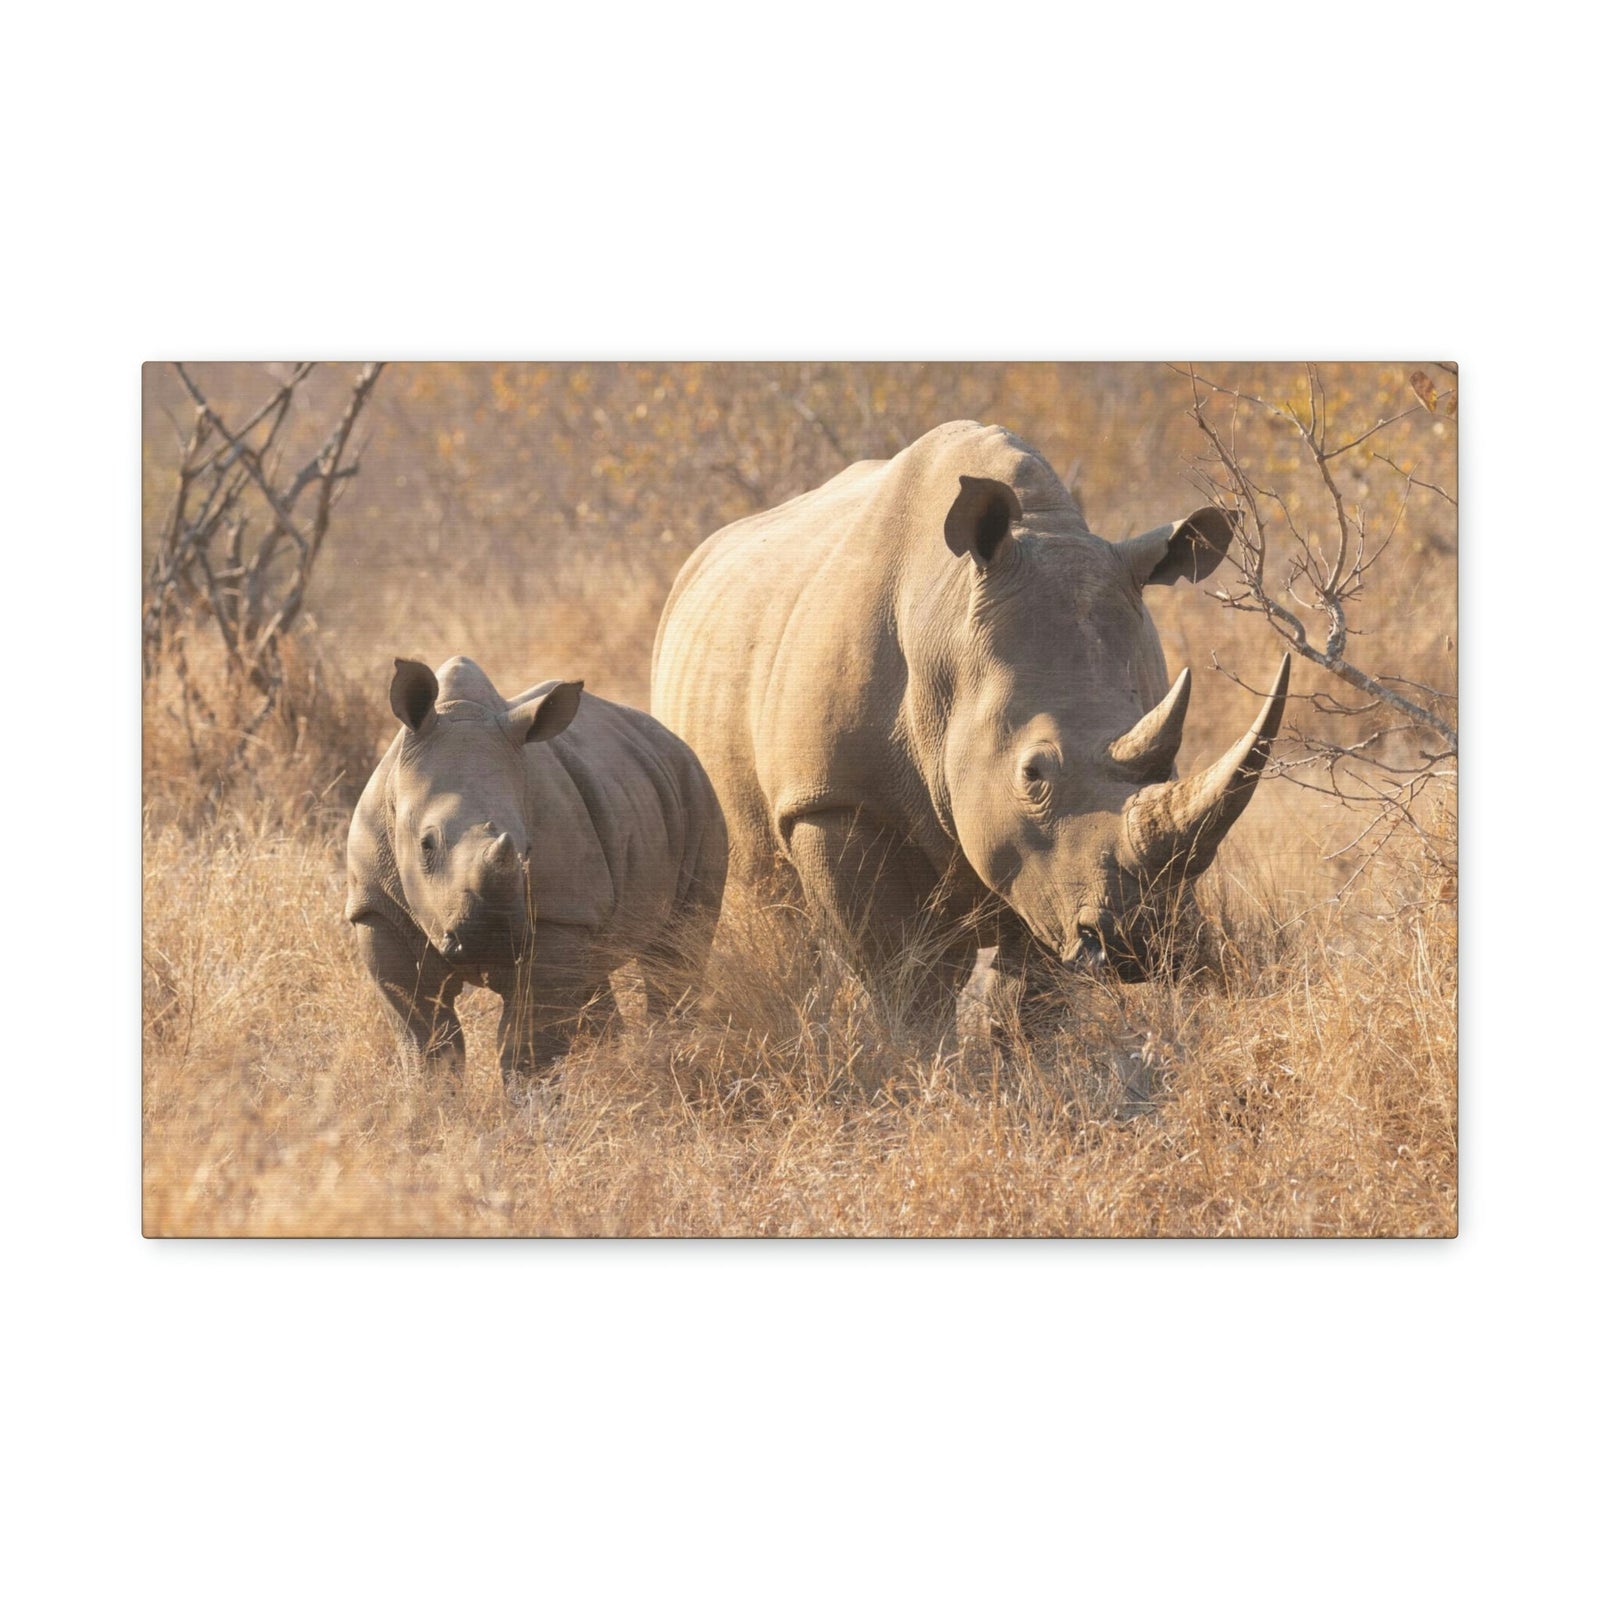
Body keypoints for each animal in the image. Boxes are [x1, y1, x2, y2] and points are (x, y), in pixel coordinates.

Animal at [346, 656, 727, 1082]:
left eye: (528, 849)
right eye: (426, 845)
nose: (489, 942)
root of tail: (673, 739)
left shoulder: (557, 914)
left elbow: (528, 1044)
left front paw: (535, 1099)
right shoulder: (377, 906)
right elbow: (427, 1040)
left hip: (697, 791)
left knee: (675, 951)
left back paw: (673, 1060)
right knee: (595, 970)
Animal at [651, 420, 1288, 1023]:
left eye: (1172, 764)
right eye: (1033, 774)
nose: (1141, 943)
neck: (948, 630)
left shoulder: (1043, 868)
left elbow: (1032, 993)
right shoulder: (831, 797)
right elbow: (906, 979)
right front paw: (916, 1062)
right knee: (781, 918)